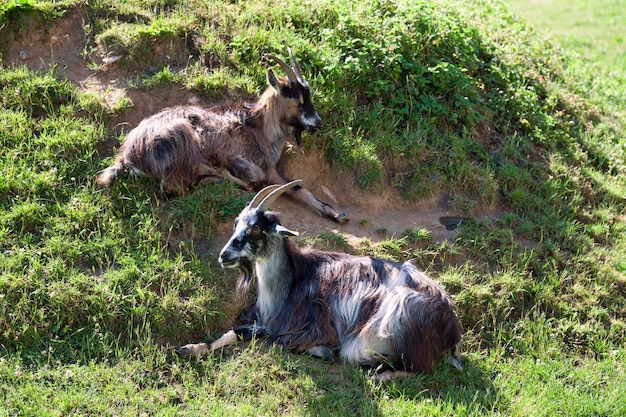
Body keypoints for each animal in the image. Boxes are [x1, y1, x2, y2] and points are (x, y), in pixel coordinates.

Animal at [96, 48, 346, 223]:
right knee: (172, 186)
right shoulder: (264, 166)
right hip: (182, 138)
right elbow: (295, 187)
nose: (317, 123)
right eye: (296, 99)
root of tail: (128, 156)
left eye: (309, 95)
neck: (258, 128)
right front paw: (336, 214)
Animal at [177, 179, 464, 380]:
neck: (292, 281)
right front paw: (190, 348)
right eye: (236, 222)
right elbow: (234, 332)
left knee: (421, 369)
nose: (224, 255)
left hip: (398, 319)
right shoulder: (269, 321)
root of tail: (451, 330)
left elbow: (280, 340)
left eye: (255, 227)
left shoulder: (311, 325)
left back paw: (381, 375)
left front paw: (324, 351)